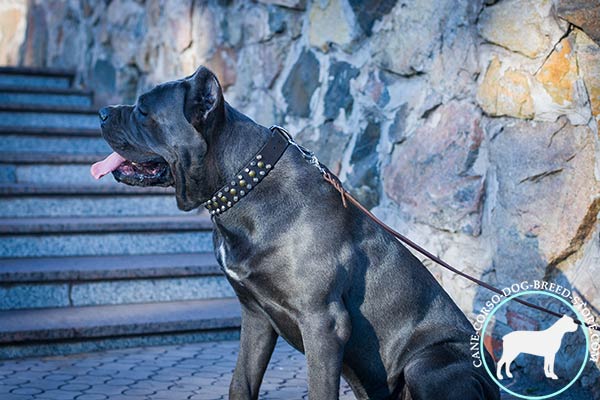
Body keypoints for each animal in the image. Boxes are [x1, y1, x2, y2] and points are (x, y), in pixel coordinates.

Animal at [91, 67, 500, 398]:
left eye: (143, 111)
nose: (103, 112)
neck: (243, 185)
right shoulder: (254, 315)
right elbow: (241, 382)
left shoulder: (323, 323)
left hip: (428, 363)